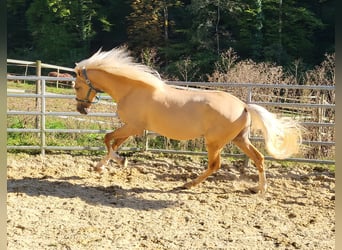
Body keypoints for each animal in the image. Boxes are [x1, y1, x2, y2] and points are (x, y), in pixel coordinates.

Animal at [73, 47, 300, 194]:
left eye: (76, 86)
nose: (81, 109)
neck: (132, 90)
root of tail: (244, 106)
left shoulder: (133, 127)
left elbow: (107, 139)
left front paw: (120, 162)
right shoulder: (132, 128)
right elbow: (113, 143)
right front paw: (102, 166)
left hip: (214, 142)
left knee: (215, 165)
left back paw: (188, 185)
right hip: (240, 139)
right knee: (259, 158)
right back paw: (259, 189)